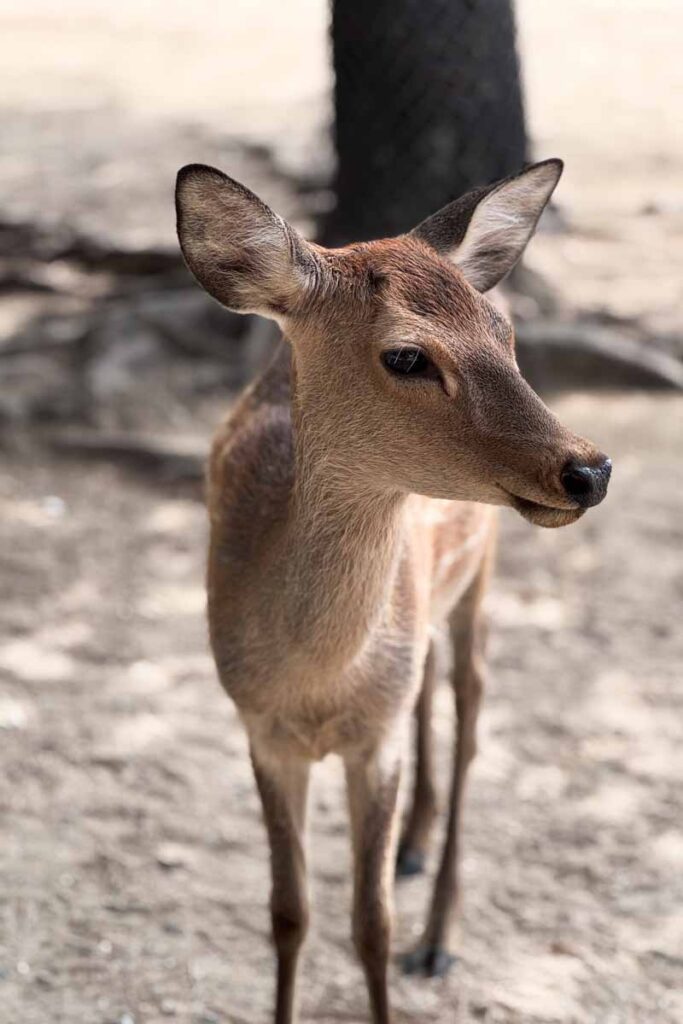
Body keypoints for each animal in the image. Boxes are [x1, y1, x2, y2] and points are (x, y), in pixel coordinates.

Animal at [175, 158, 611, 1024]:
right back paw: (412, 845)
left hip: (483, 572)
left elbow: (369, 923)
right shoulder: (258, 727)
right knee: (429, 681)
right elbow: (288, 913)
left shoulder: (370, 743)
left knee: (470, 705)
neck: (313, 680)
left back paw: (438, 934)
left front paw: (402, 943)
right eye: (406, 357)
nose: (588, 469)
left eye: (503, 338)